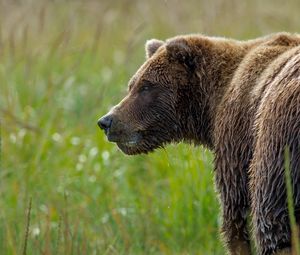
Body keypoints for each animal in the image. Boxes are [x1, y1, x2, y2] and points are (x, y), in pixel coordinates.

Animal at [98, 32, 300, 255]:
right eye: (131, 85)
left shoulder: (237, 139)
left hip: (278, 148)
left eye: (146, 86)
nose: (106, 121)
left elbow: (235, 212)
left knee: (271, 223)